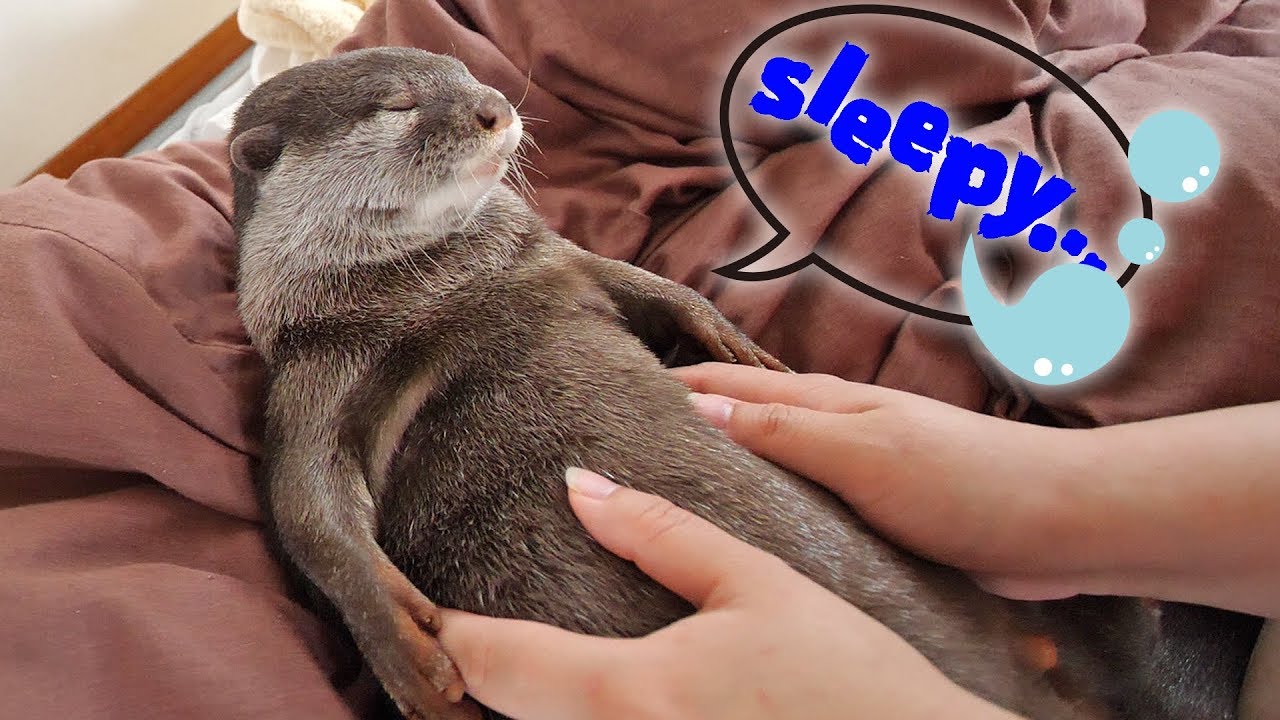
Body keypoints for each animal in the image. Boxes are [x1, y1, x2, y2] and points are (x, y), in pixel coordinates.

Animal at [228, 47, 1174, 720]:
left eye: (464, 74)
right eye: (396, 103)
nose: (494, 106)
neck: (435, 287)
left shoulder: (552, 260)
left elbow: (650, 285)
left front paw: (735, 346)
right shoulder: (318, 371)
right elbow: (305, 507)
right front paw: (399, 642)